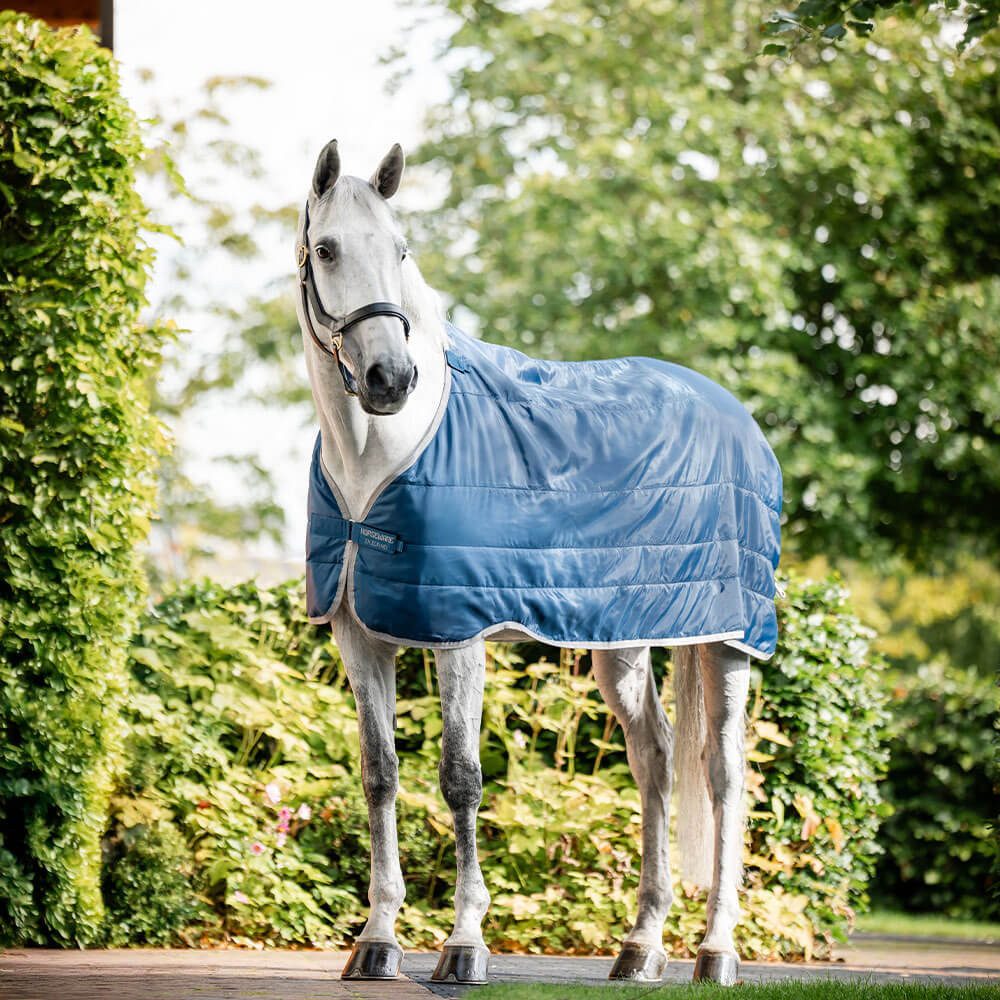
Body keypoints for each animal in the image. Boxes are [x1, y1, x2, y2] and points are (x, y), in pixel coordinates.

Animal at [295, 139, 781, 986]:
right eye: (326, 249)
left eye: (400, 250)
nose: (392, 378)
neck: (378, 461)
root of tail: (737, 415)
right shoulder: (359, 632)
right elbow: (379, 774)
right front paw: (377, 942)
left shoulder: (457, 634)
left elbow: (460, 778)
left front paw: (463, 946)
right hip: (622, 642)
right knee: (654, 758)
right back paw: (639, 948)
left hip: (726, 641)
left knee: (723, 775)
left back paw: (715, 952)